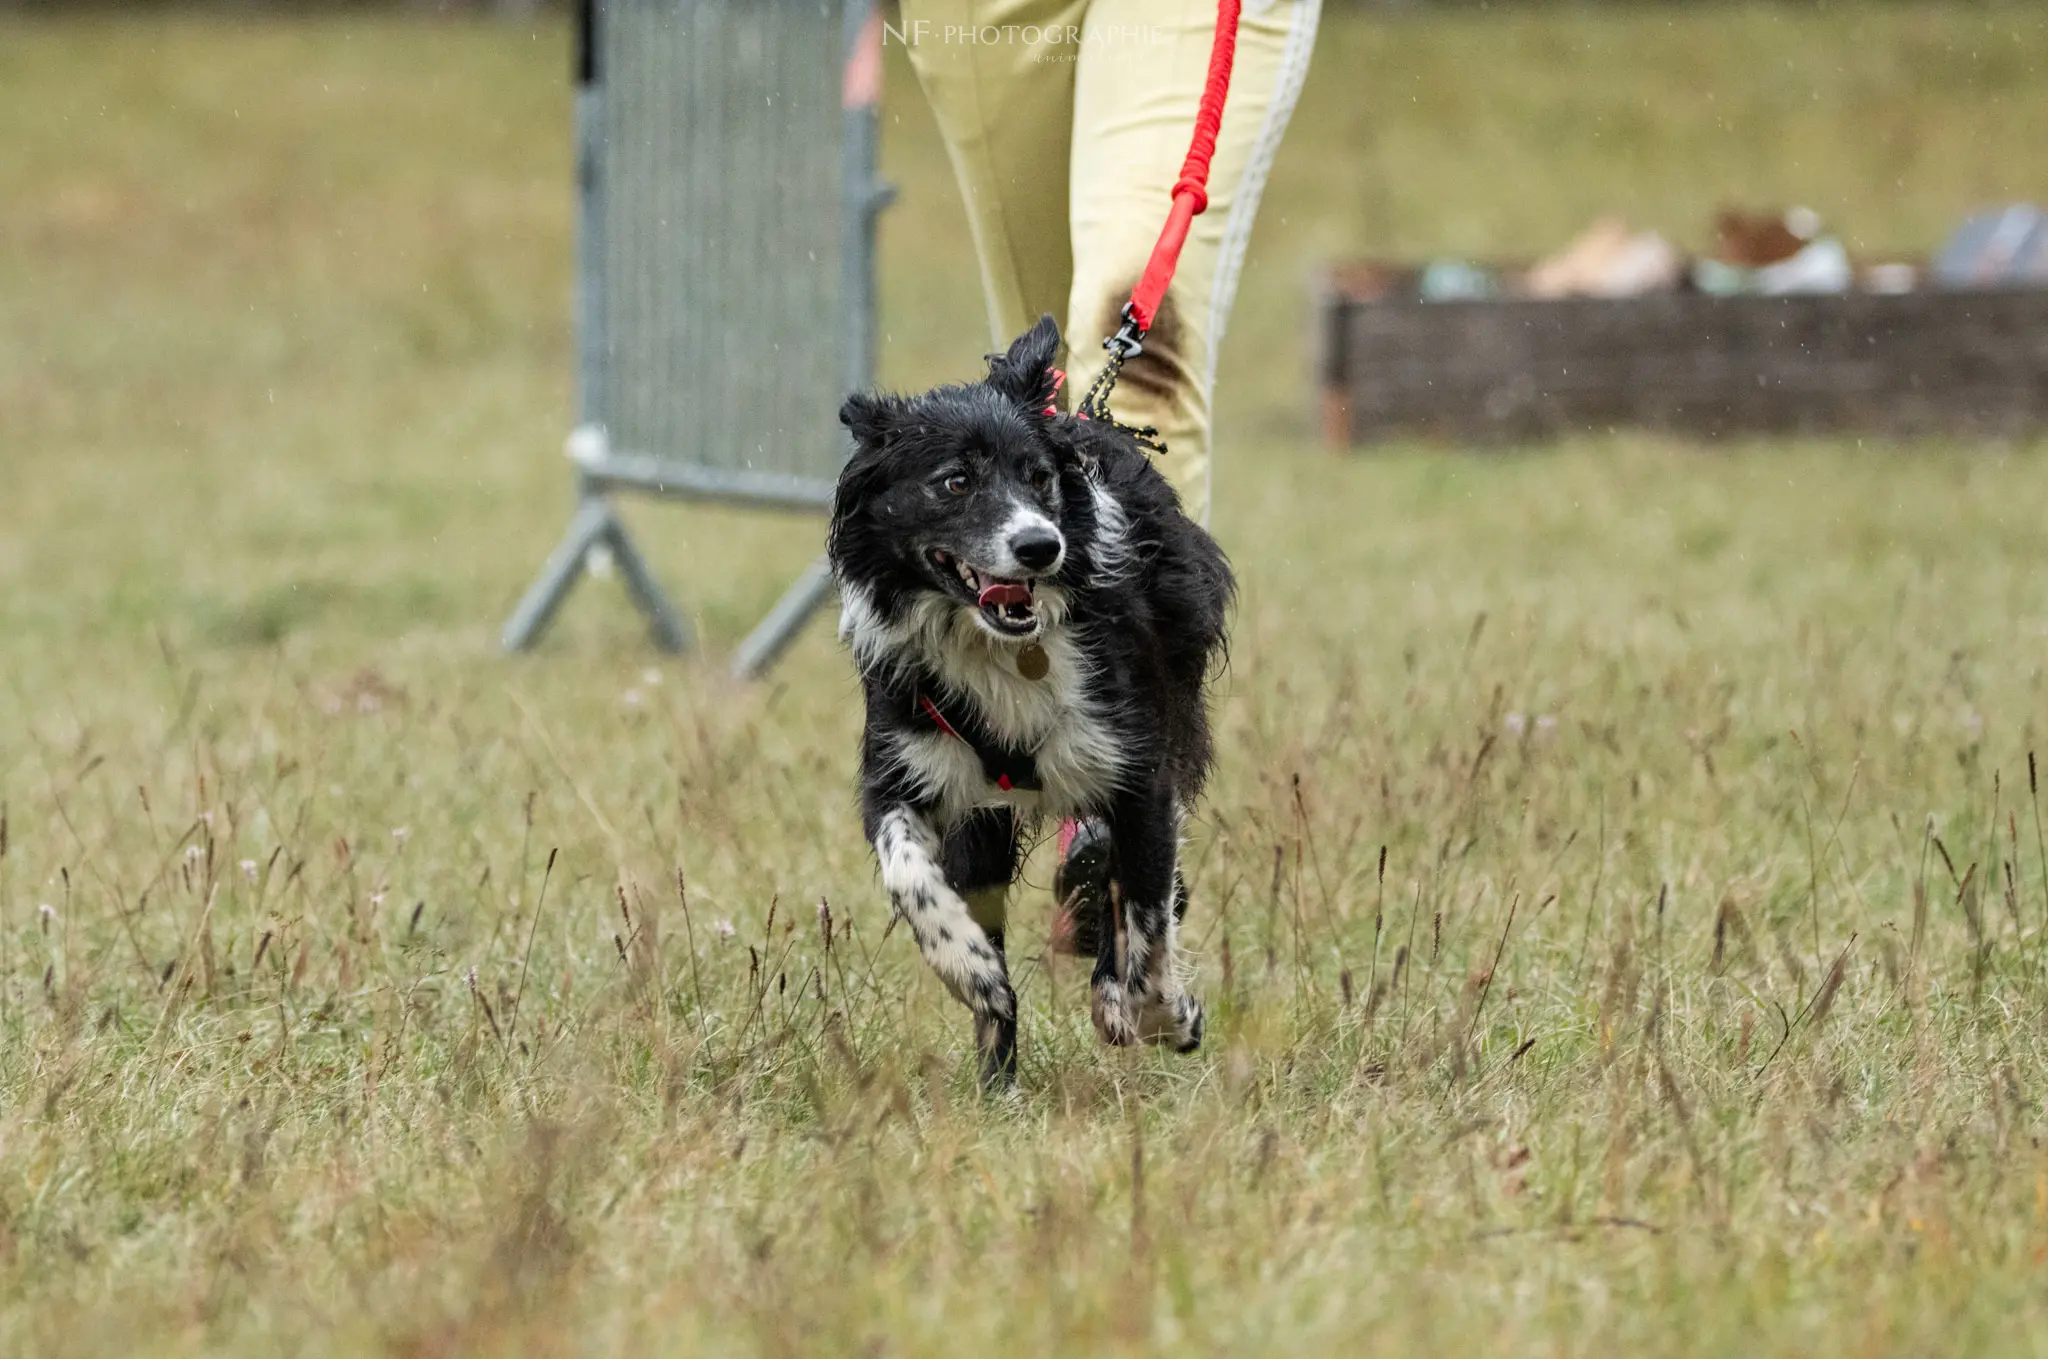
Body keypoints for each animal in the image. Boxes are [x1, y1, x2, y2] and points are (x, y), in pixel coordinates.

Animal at [827, 315, 1228, 1080]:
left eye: (1039, 477)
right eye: (954, 481)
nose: (1041, 546)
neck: (1002, 648)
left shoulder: (1139, 769)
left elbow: (1148, 923)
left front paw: (1166, 1015)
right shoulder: (902, 767)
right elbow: (911, 876)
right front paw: (971, 969)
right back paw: (997, 1078)